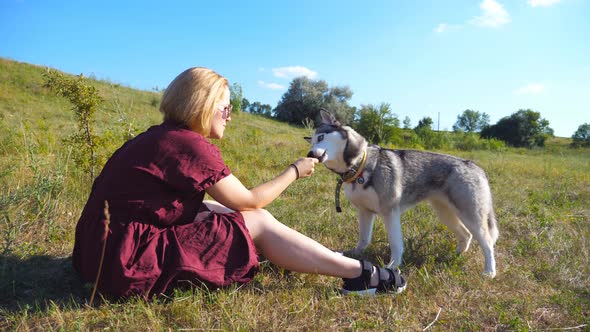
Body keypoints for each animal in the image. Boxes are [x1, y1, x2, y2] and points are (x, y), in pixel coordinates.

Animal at [308, 109, 502, 278]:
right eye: (311, 142)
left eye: (321, 137)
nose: (309, 153)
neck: (360, 167)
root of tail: (476, 167)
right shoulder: (364, 212)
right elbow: (363, 238)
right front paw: (354, 254)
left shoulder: (390, 212)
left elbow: (395, 243)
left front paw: (393, 265)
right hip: (446, 214)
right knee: (466, 234)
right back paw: (456, 256)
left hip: (471, 216)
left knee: (487, 243)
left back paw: (489, 272)